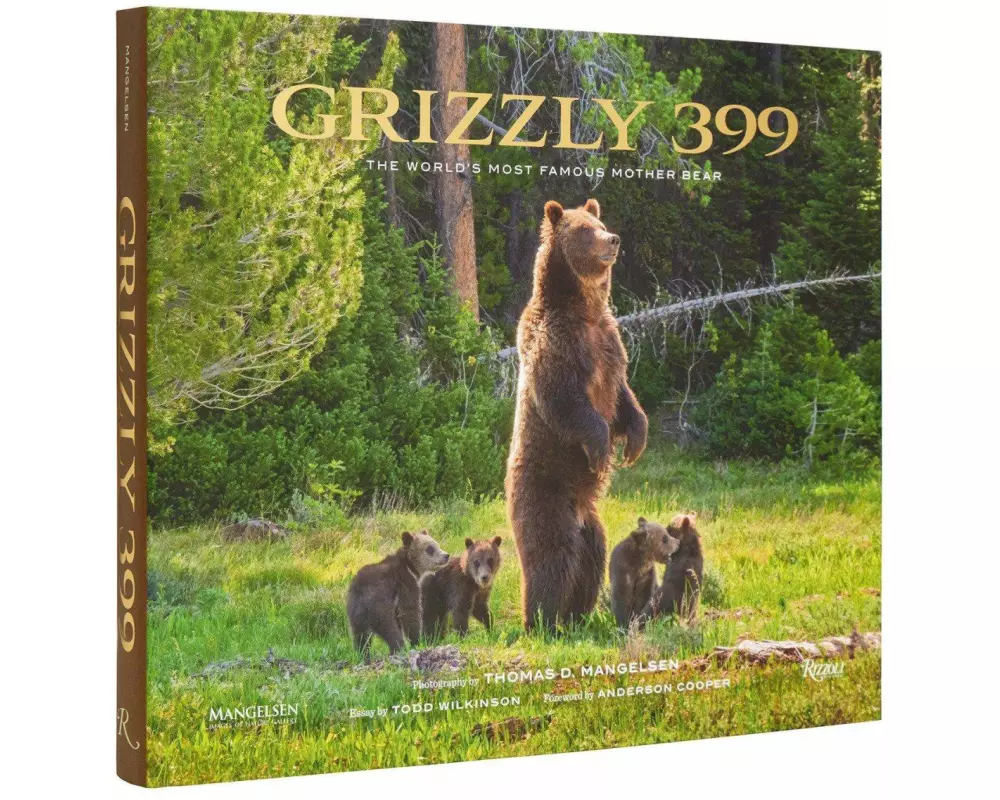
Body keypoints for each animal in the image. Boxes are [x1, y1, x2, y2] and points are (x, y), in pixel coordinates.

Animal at [505, 198, 648, 631]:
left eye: (601, 223)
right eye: (585, 231)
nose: (613, 239)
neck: (583, 309)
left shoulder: (609, 343)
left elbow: (624, 397)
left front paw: (635, 443)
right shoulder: (556, 344)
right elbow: (566, 402)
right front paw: (602, 448)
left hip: (592, 524)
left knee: (591, 558)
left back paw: (577, 617)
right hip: (545, 492)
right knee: (552, 556)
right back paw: (542, 620)